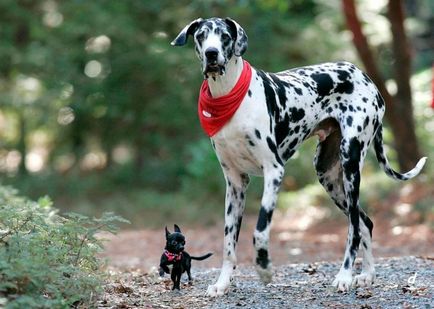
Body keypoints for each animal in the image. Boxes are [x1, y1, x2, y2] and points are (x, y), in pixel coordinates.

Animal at [170, 17, 428, 296]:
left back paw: (345, 276)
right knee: (364, 222)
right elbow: (228, 243)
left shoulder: (274, 171)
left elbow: (259, 231)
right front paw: (222, 283)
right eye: (202, 36)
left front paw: (264, 269)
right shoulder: (235, 184)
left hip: (350, 165)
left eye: (225, 36)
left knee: (354, 229)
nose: (211, 53)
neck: (228, 96)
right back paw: (367, 275)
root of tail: (364, 76)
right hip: (328, 176)